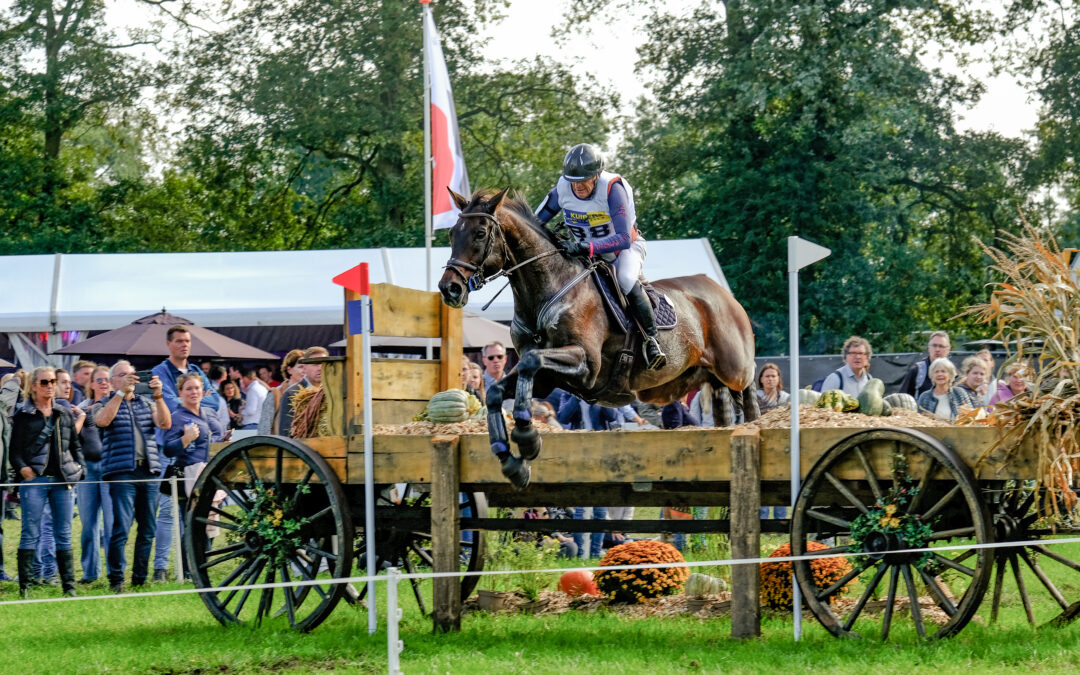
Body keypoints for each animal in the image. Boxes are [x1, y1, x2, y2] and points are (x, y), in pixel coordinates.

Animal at [438, 186, 760, 486]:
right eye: (452, 233)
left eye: (480, 234)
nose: (449, 288)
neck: (546, 291)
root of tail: (724, 294)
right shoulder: (547, 379)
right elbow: (496, 391)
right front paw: (510, 461)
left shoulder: (586, 365)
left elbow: (530, 362)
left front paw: (527, 438)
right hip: (703, 378)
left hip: (735, 370)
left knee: (748, 394)